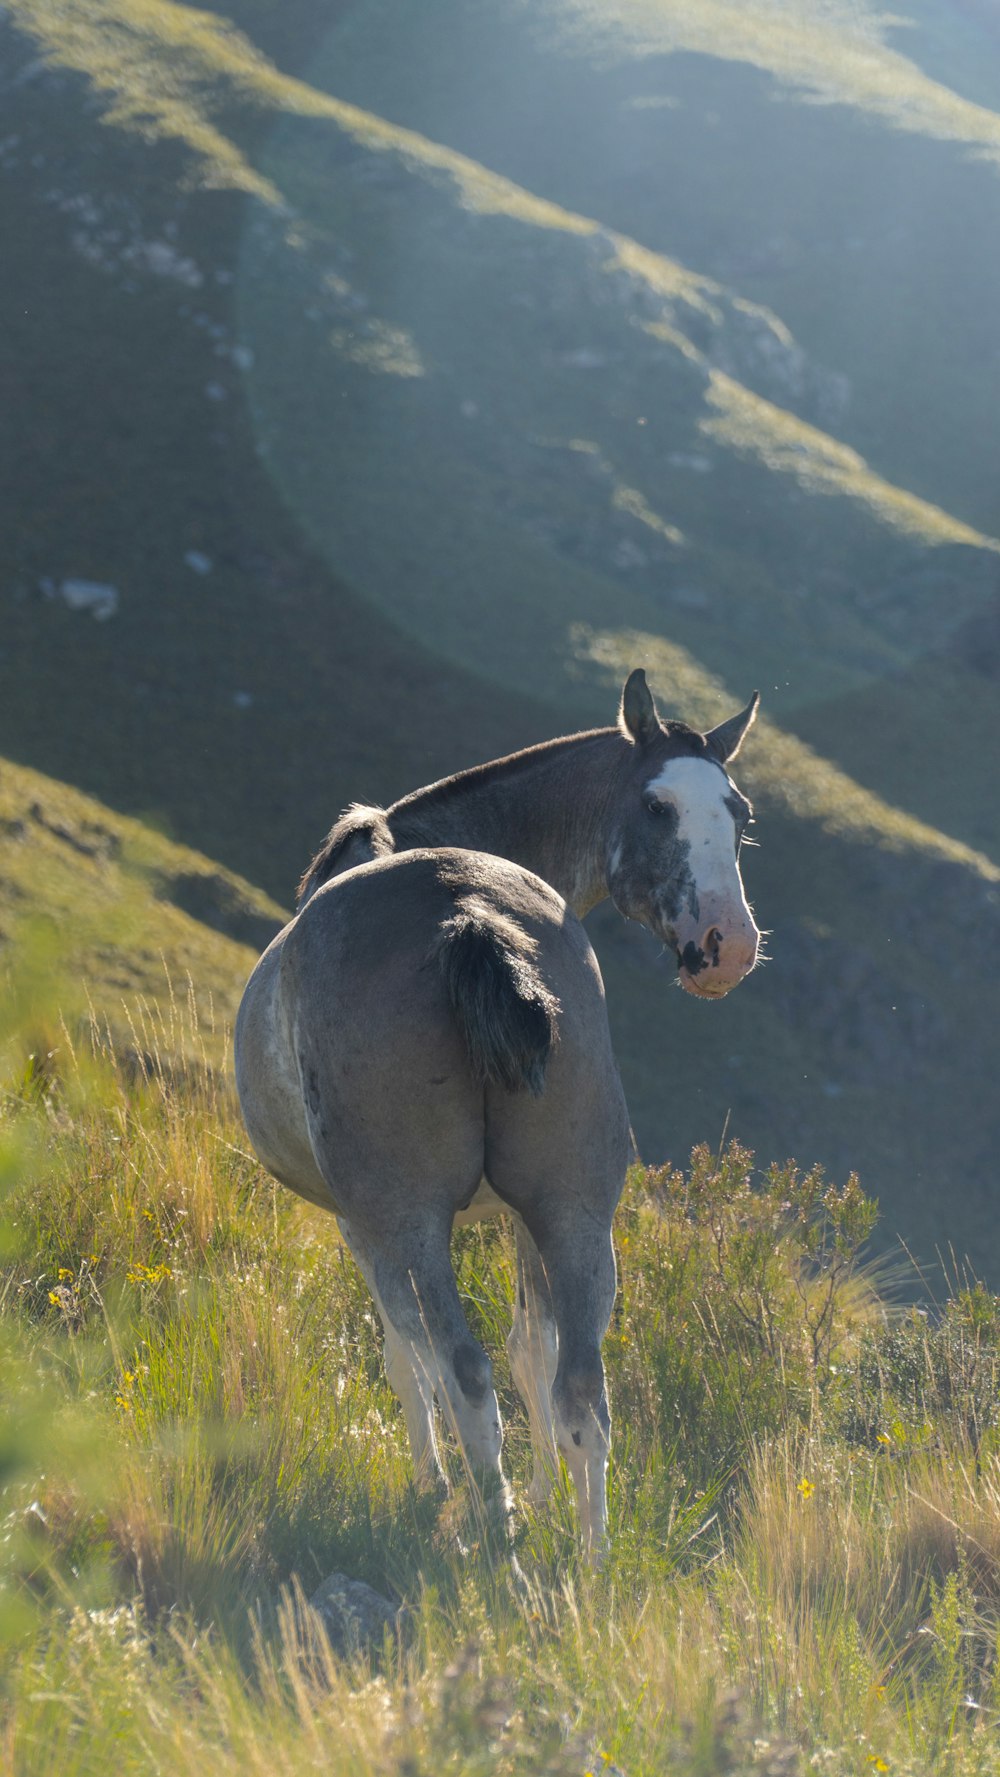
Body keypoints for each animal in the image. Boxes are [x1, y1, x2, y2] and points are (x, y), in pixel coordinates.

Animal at [234, 671, 763, 1563]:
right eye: (657, 805)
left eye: (739, 812)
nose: (727, 944)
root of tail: (469, 914)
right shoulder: (521, 1213)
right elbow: (533, 1350)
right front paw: (549, 1496)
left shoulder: (360, 1224)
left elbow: (408, 1355)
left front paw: (437, 1485)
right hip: (575, 1209)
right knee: (581, 1388)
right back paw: (590, 1564)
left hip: (410, 1217)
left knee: (462, 1371)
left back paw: (497, 1541)